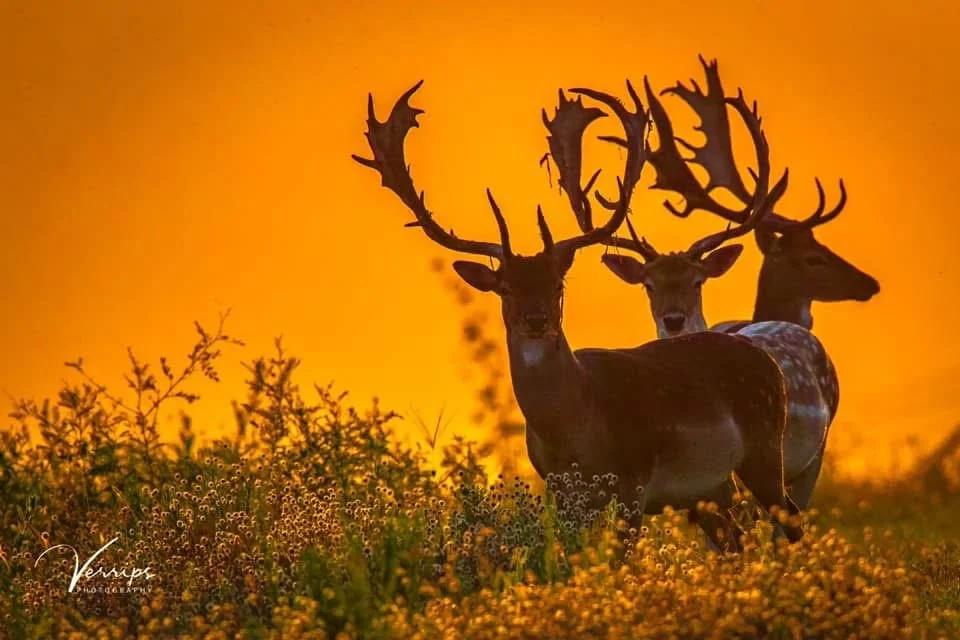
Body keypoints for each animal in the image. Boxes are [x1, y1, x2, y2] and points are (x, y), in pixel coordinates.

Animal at [353, 79, 803, 551]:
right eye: (505, 288)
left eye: (558, 284)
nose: (536, 320)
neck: (576, 431)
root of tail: (767, 360)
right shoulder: (561, 492)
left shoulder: (632, 482)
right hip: (712, 490)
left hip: (764, 447)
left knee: (791, 518)